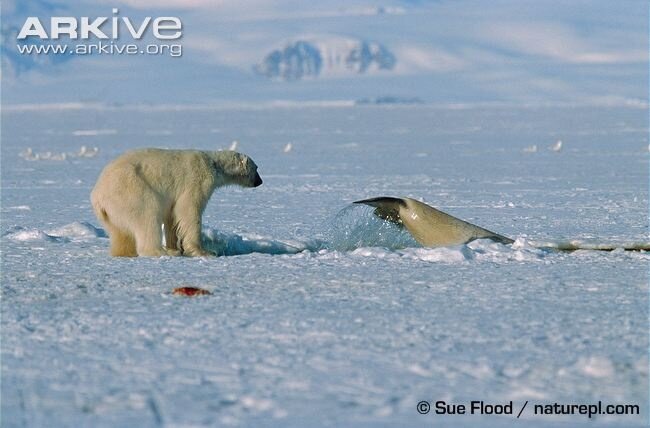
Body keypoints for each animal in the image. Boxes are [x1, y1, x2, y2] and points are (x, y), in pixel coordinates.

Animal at [90, 150, 262, 258]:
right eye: (257, 168)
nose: (260, 182)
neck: (214, 164)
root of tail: (98, 195)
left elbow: (171, 216)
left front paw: (176, 245)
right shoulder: (198, 179)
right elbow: (188, 210)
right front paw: (204, 252)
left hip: (112, 211)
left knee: (120, 232)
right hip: (131, 190)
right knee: (148, 214)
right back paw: (162, 252)